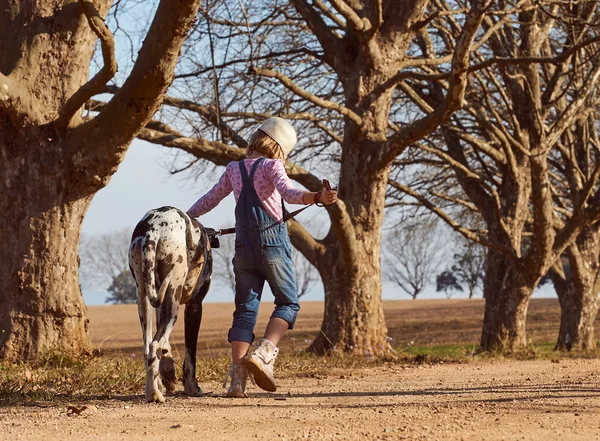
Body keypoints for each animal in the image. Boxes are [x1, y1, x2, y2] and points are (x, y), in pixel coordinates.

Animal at [129, 206, 213, 402]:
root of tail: (152, 231)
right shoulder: (194, 306)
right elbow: (190, 356)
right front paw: (192, 388)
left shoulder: (160, 306)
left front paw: (167, 373)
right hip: (173, 302)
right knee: (154, 345)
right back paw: (154, 394)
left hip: (144, 298)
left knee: (147, 347)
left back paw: (153, 389)